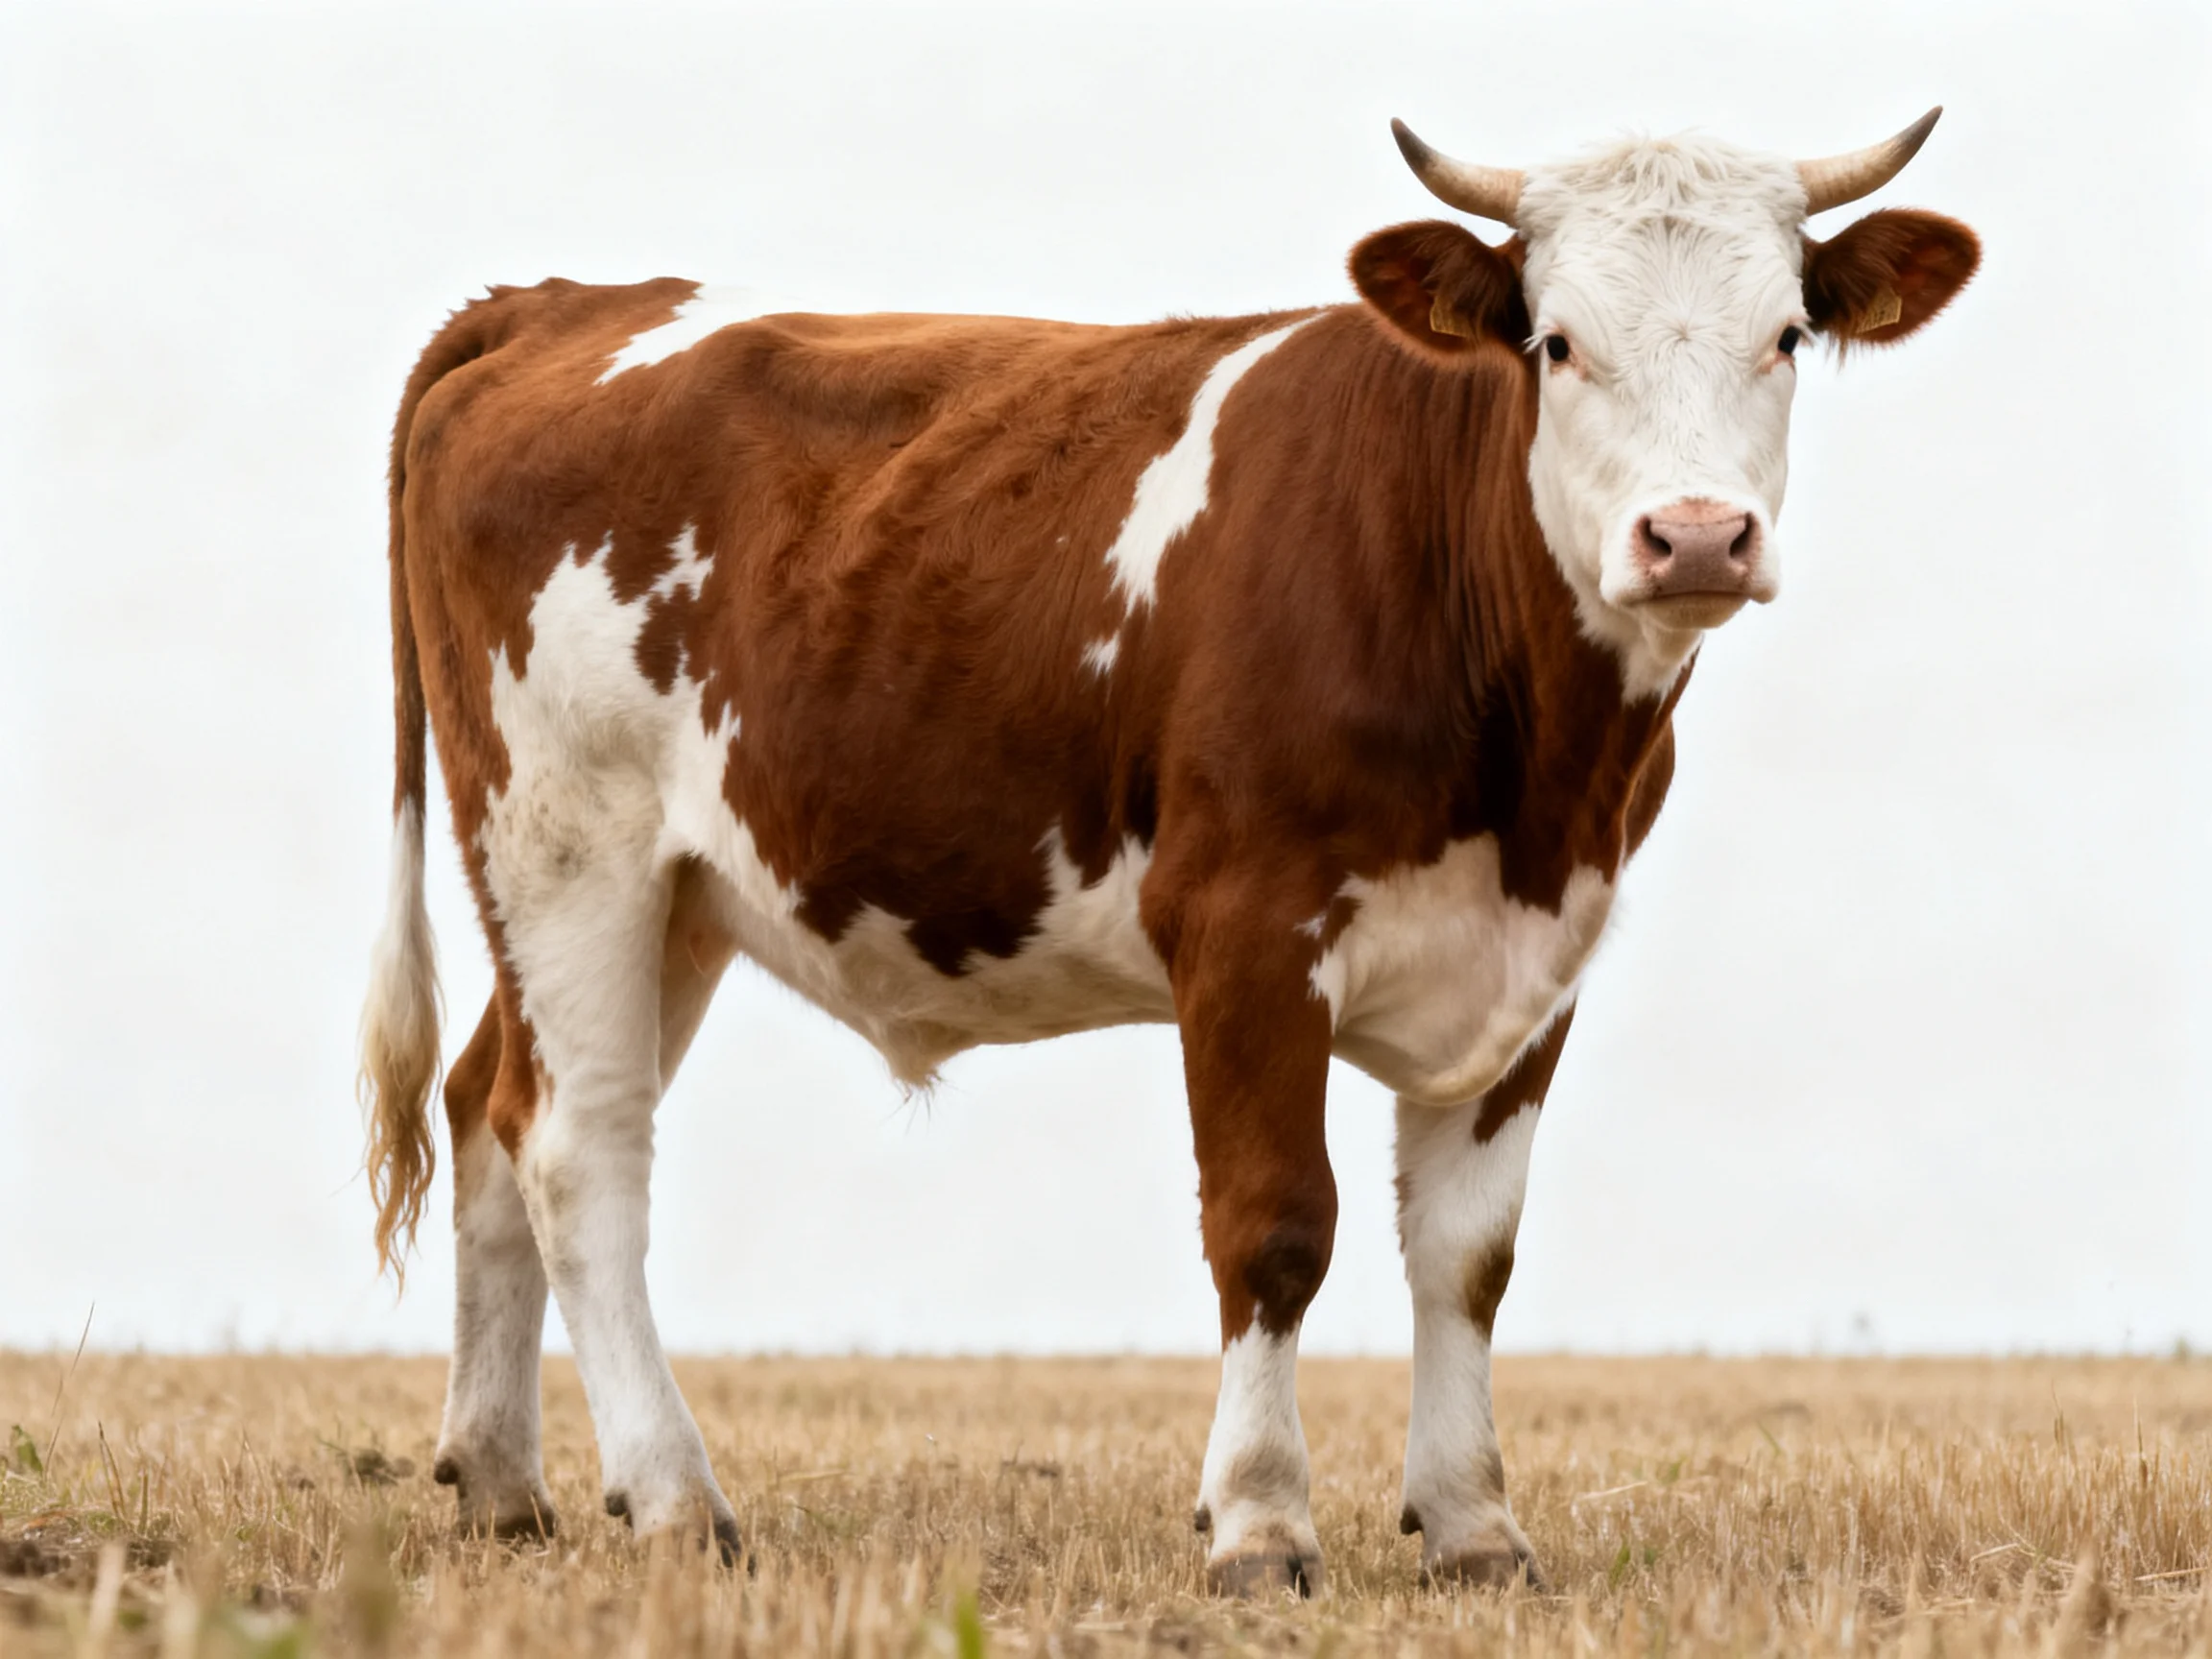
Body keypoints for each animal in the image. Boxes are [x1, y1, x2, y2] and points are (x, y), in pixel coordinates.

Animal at [358, 110, 1978, 1594]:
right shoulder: (1247, 927)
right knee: (579, 1146)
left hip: (673, 897)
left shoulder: (1539, 960)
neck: (1535, 774)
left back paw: (499, 1484)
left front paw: (1472, 1526)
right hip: (568, 847)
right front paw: (1261, 1524)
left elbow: (1468, 1256)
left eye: (1786, 334)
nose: (1695, 536)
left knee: (487, 1103)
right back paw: (678, 1500)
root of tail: (560, 302)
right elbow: (1276, 1229)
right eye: (1559, 343)